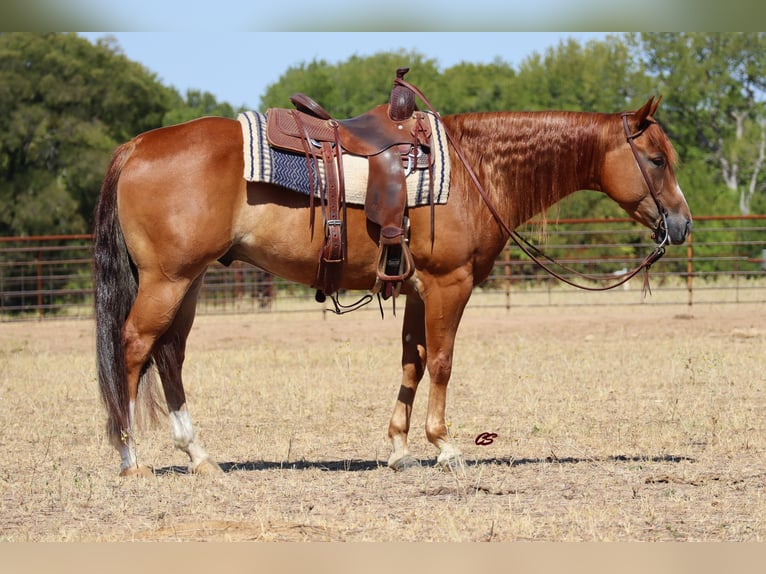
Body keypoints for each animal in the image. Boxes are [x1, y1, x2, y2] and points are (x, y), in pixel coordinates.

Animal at [94, 94, 696, 480]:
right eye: (656, 159)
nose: (683, 224)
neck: (476, 169)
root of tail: (137, 146)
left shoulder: (415, 290)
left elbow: (412, 363)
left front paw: (399, 449)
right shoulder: (450, 285)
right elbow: (443, 362)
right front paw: (444, 446)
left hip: (189, 281)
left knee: (170, 356)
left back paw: (199, 455)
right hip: (168, 281)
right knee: (134, 349)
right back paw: (130, 458)